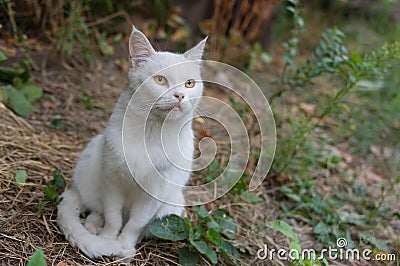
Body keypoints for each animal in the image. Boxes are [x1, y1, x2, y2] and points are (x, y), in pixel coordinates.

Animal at [57, 26, 206, 258]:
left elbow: (135, 224)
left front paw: (125, 246)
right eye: (160, 80)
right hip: (91, 157)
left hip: (173, 203)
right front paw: (108, 239)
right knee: (97, 210)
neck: (151, 132)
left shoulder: (153, 195)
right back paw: (93, 227)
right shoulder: (112, 182)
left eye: (189, 83)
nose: (180, 95)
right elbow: (113, 217)